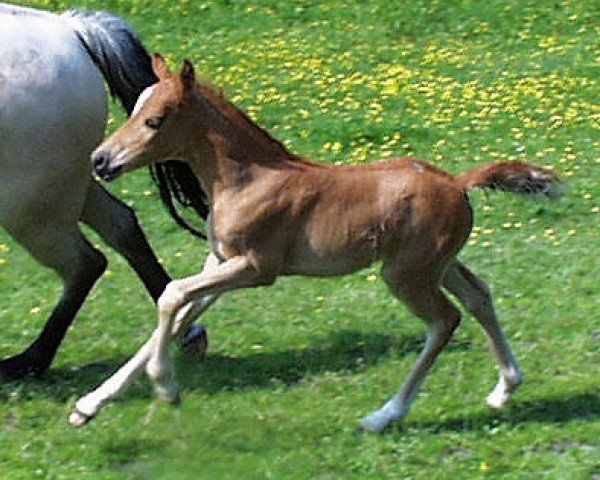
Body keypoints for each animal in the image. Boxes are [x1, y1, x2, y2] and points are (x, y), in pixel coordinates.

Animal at [72, 55, 560, 432]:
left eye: (155, 120)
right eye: (132, 110)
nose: (100, 160)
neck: (247, 178)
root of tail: (458, 183)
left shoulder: (255, 267)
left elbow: (171, 296)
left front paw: (167, 387)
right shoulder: (219, 262)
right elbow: (176, 315)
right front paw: (89, 405)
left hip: (405, 274)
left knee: (445, 320)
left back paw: (384, 416)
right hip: (438, 264)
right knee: (479, 296)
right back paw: (505, 388)